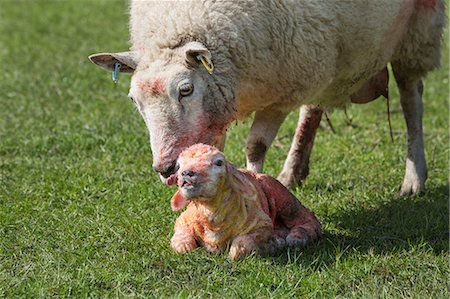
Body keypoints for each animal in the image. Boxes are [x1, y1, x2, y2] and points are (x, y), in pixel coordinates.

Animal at [89, 0, 446, 196]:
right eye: (134, 101)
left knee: (411, 102)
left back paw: (414, 177)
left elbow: (255, 145)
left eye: (186, 90)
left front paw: (256, 184)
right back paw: (293, 171)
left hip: (418, 30)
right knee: (314, 106)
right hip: (323, 55)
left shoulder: (283, 91)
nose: (164, 168)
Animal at [171, 145, 322, 260]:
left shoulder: (262, 223)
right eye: (179, 165)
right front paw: (185, 245)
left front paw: (267, 246)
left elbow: (239, 248)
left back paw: (297, 236)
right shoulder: (183, 220)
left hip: (282, 197)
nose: (186, 173)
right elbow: (182, 243)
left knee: (308, 218)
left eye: (219, 162)